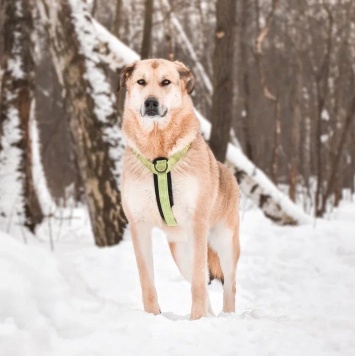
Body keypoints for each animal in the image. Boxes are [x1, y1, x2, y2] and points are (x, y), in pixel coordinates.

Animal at [120, 58, 242, 320]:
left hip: (225, 244)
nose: (151, 102)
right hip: (181, 252)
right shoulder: (138, 224)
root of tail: (227, 171)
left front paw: (197, 320)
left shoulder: (197, 221)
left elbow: (199, 283)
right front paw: (153, 317)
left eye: (166, 82)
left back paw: (225, 316)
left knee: (228, 286)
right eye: (141, 81)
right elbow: (147, 282)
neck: (159, 155)